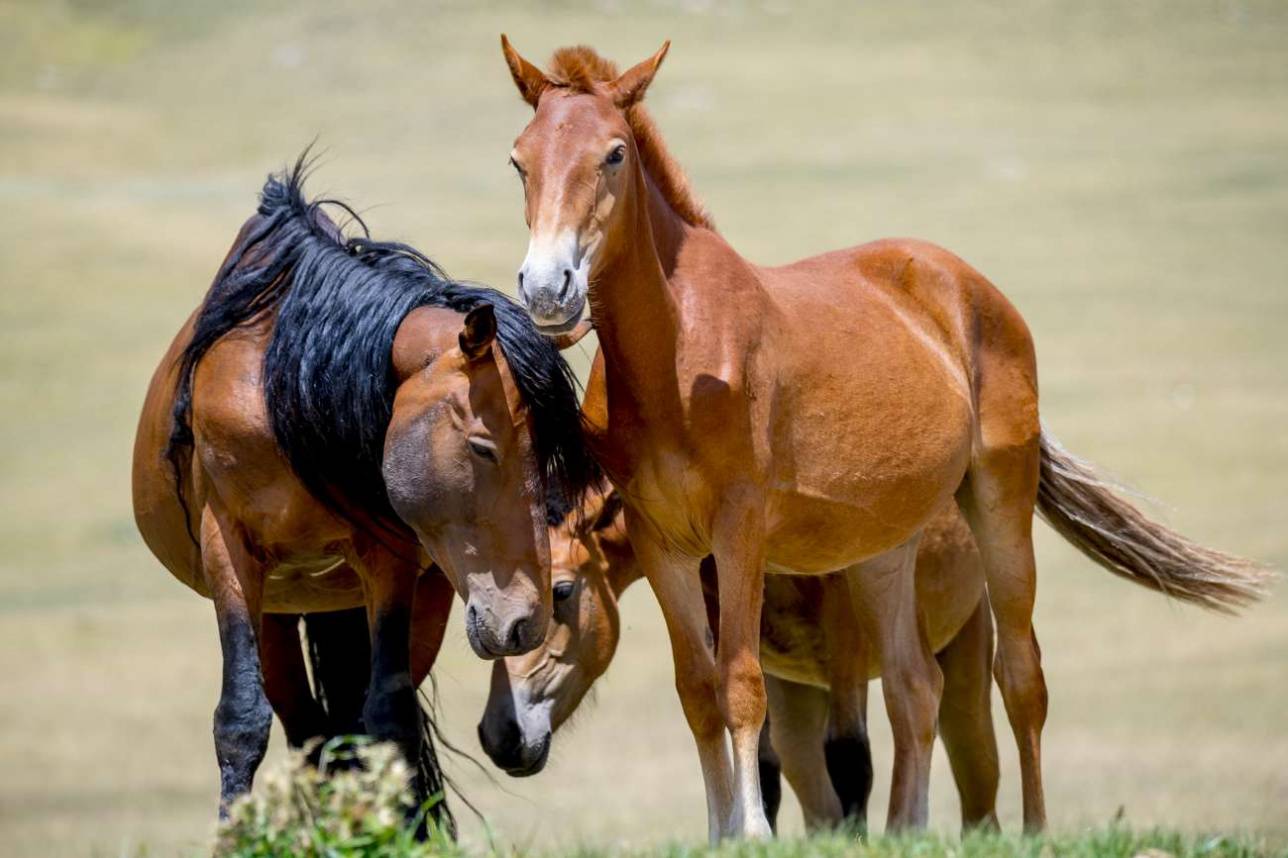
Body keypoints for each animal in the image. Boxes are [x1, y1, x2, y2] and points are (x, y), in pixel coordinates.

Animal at [130, 157, 592, 819]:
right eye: (483, 447)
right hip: (279, 608)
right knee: (310, 731)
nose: (523, 622)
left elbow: (389, 720)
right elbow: (241, 720)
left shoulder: (388, 561)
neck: (288, 385)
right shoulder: (229, 550)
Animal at [479, 486, 999, 829]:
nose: (498, 735)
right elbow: (763, 769)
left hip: (964, 678)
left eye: (562, 591)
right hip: (797, 702)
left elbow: (852, 757)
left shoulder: (845, 633)